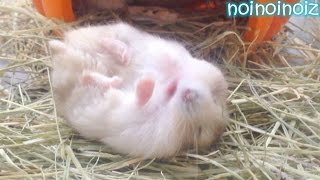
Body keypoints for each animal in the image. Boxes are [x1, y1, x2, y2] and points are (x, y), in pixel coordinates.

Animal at [49, 21, 230, 158]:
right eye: (214, 95)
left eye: (199, 131)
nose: (187, 95)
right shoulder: (171, 55)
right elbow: (172, 65)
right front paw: (165, 82)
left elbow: (141, 102)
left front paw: (153, 84)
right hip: (115, 33)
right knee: (111, 48)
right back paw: (119, 54)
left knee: (89, 78)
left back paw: (126, 80)